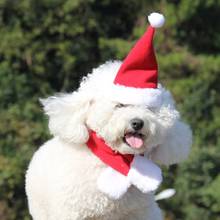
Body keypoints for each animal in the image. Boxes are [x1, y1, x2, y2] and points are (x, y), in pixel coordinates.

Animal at [25, 59, 192, 219]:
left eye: (149, 109)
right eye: (120, 105)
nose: (137, 123)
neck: (115, 159)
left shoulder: (140, 213)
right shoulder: (71, 212)